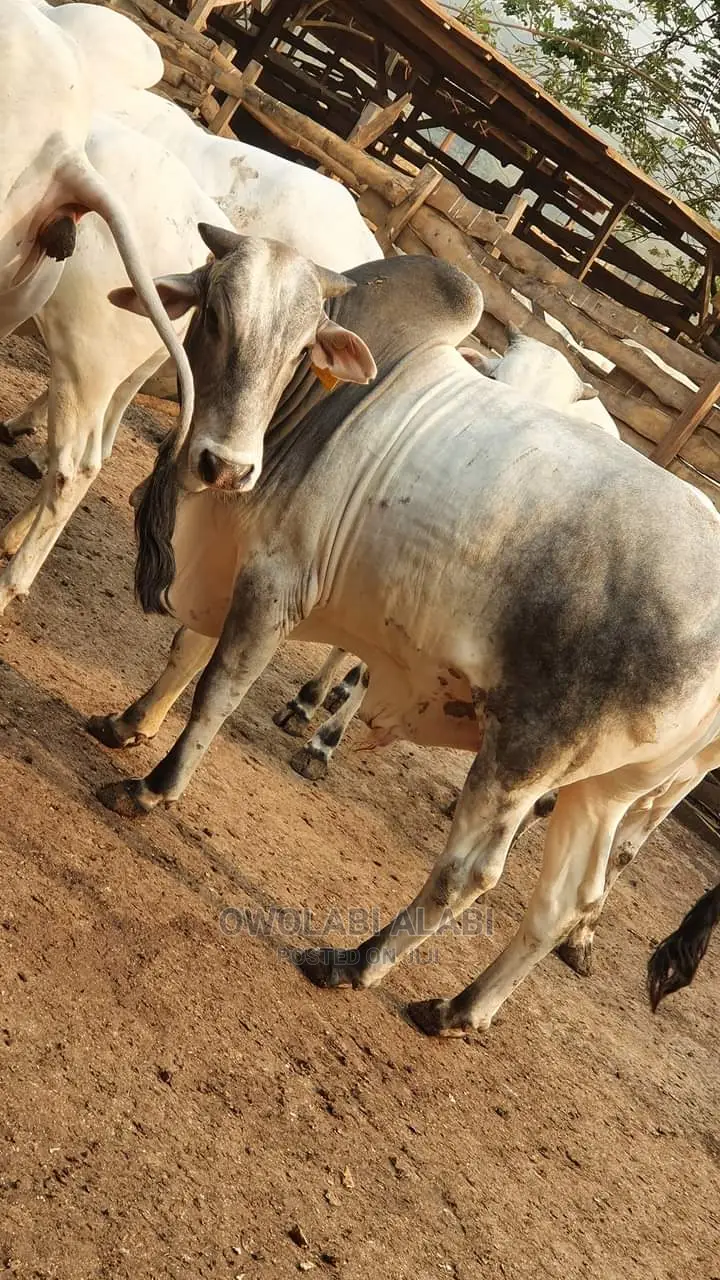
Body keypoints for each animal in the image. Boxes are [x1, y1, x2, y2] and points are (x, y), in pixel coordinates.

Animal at [86, 230, 720, 1038]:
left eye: (300, 345)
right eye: (217, 318)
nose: (226, 464)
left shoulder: (274, 587)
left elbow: (216, 692)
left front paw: (151, 788)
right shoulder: (237, 561)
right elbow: (182, 655)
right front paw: (127, 723)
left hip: (521, 760)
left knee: (470, 874)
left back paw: (356, 963)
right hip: (602, 790)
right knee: (566, 902)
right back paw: (460, 1008)